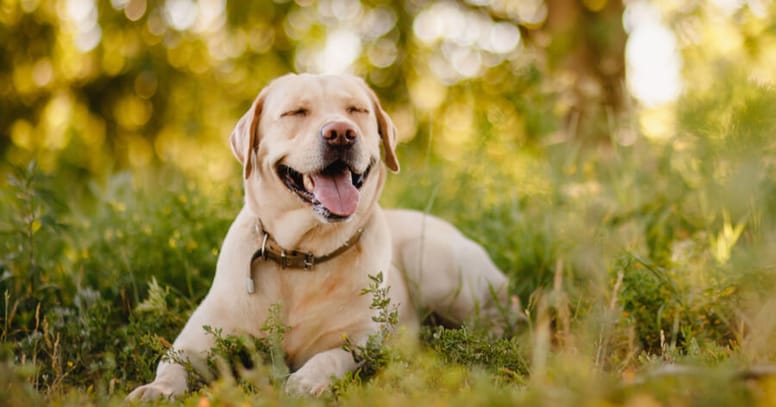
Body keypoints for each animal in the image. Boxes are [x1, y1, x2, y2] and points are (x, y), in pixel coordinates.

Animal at [126, 73, 516, 402]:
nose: (341, 133)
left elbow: (330, 356)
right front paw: (155, 390)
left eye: (356, 110)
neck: (302, 254)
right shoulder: (197, 338)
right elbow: (172, 362)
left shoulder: (362, 339)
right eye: (296, 112)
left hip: (438, 267)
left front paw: (305, 381)